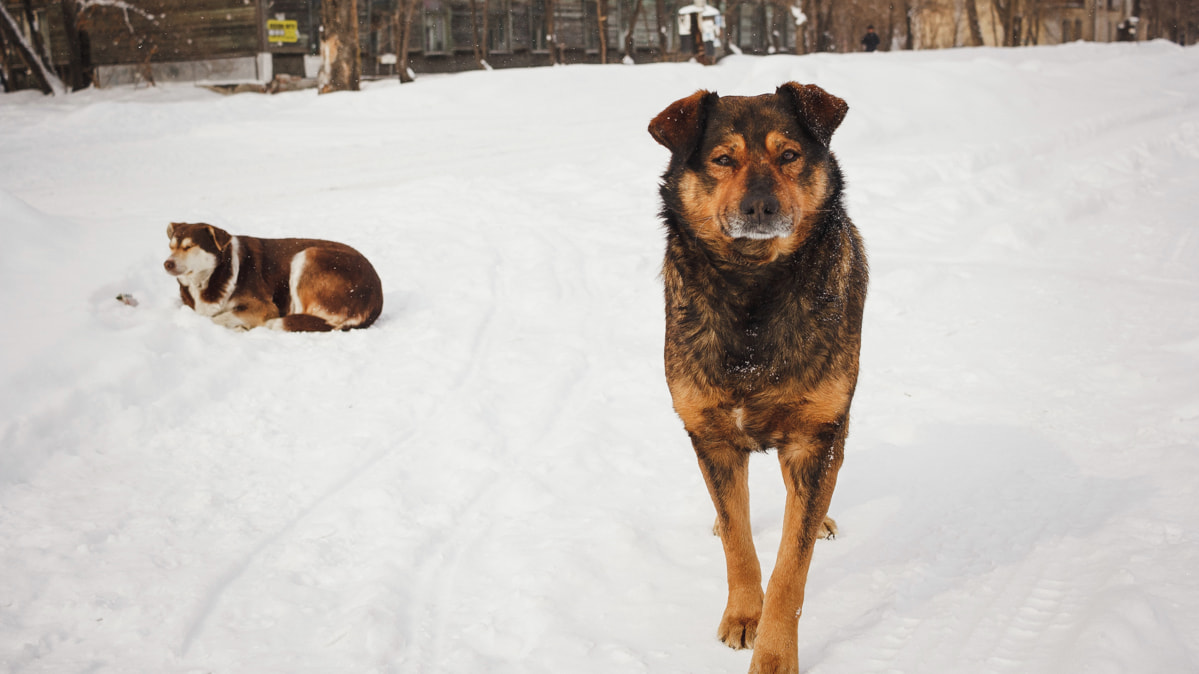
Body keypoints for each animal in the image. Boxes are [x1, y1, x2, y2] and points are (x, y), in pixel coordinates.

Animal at [164, 221, 383, 331]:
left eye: (189, 246)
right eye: (171, 246)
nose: (167, 264)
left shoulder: (264, 307)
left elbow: (216, 318)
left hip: (306, 256)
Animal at [652, 83, 868, 671]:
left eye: (788, 155)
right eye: (723, 159)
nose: (760, 207)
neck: (753, 288)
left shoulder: (815, 436)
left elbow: (792, 567)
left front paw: (774, 655)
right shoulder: (710, 434)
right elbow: (738, 539)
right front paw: (745, 614)